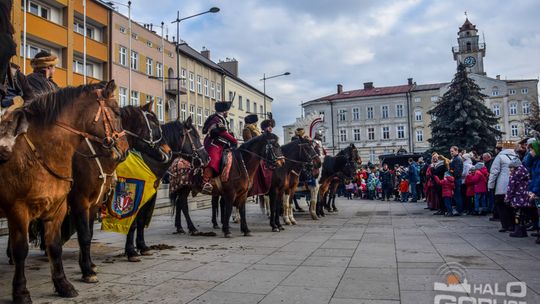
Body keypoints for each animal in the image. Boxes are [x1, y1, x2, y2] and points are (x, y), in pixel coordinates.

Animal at [0, 81, 127, 304]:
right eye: (118, 113)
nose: (125, 150)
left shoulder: (60, 208)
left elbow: (56, 246)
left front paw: (64, 284)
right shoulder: (19, 209)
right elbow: (21, 249)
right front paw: (21, 292)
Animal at [124, 116, 209, 262]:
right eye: (194, 136)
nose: (206, 158)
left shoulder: (148, 197)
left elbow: (140, 221)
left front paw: (142, 247)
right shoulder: (136, 196)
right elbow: (133, 222)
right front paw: (131, 251)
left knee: (181, 204)